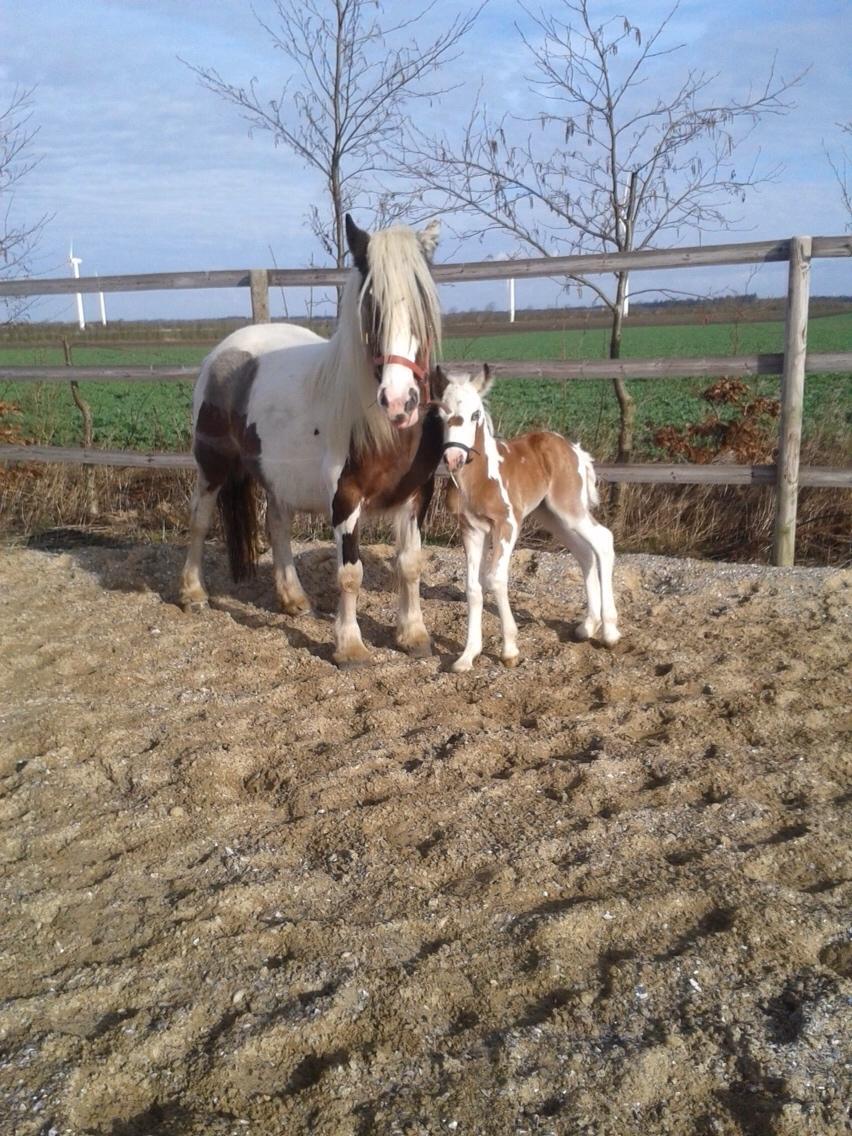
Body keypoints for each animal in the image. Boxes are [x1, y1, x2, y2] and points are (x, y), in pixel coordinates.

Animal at [181, 213, 447, 663]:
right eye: (370, 306)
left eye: (422, 303)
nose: (399, 401)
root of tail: (223, 353)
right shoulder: (346, 498)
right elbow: (351, 573)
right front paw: (350, 646)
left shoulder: (416, 495)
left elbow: (410, 564)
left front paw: (413, 635)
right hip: (212, 467)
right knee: (200, 519)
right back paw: (193, 592)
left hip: (275, 475)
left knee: (277, 525)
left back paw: (293, 599)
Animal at [440, 363, 622, 667]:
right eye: (441, 414)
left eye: (475, 414)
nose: (453, 458)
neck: (478, 479)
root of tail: (572, 447)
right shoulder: (471, 529)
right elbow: (473, 587)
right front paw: (467, 656)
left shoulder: (507, 525)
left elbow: (495, 578)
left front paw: (509, 650)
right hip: (552, 516)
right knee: (585, 553)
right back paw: (587, 626)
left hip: (569, 508)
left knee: (603, 541)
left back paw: (609, 631)